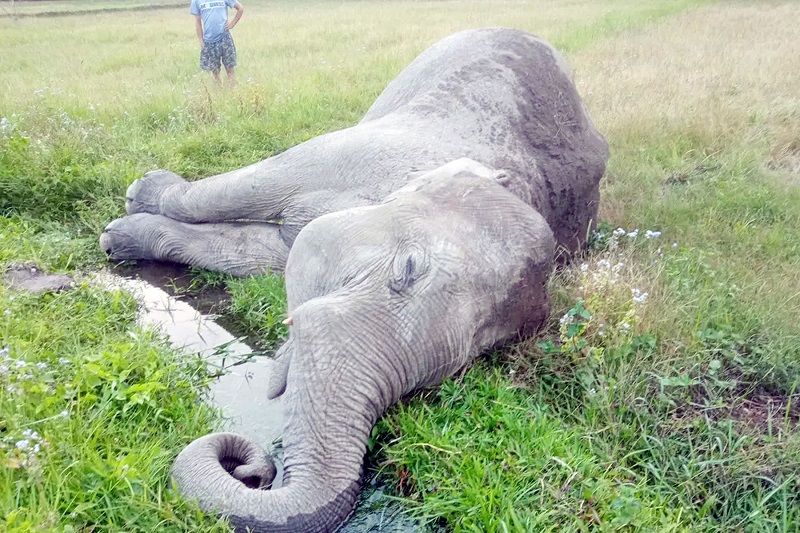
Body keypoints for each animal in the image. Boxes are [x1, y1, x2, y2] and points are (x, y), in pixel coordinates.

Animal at [98, 28, 608, 532]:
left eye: (456, 367)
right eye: (408, 269)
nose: (252, 470)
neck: (520, 181)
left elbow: (264, 254)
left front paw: (121, 235)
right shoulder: (368, 151)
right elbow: (247, 189)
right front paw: (135, 202)